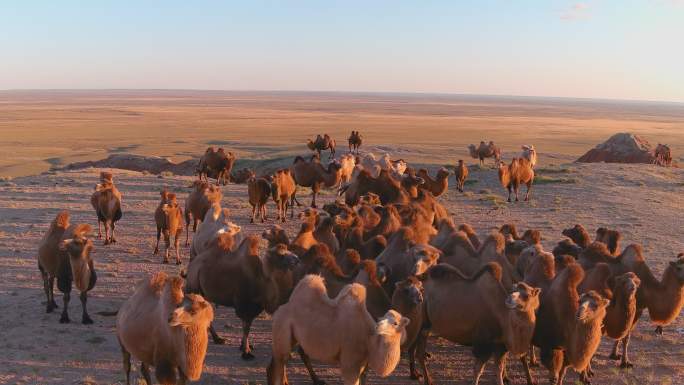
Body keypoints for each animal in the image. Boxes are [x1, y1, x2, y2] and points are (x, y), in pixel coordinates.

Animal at [266, 274, 406, 384]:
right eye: (382, 318)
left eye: (395, 323)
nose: (378, 326)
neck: (368, 339)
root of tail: (282, 307)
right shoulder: (350, 364)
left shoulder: (363, 366)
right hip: (282, 326)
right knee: (280, 361)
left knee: (278, 362)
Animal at [414, 262, 544, 384]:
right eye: (512, 291)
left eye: (527, 295)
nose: (509, 300)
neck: (502, 315)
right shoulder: (483, 344)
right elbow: (478, 370)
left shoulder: (499, 345)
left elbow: (499, 369)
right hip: (421, 324)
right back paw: (423, 378)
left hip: (426, 327)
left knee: (419, 353)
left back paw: (425, 378)